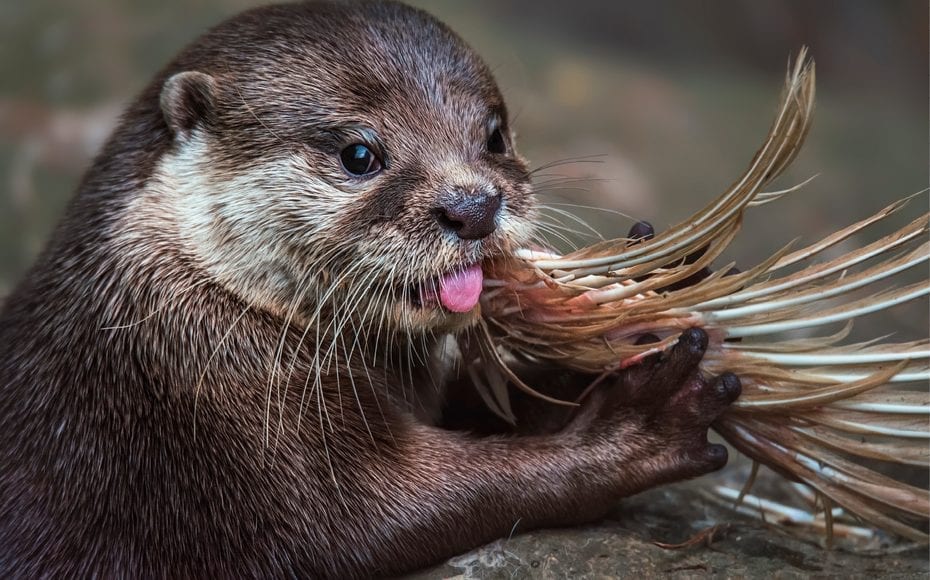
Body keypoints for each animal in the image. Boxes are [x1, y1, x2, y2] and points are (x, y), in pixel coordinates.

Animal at [0, 2, 740, 577]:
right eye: (359, 154)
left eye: (494, 135)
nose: (473, 205)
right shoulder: (216, 415)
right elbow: (374, 515)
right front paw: (639, 423)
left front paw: (624, 317)